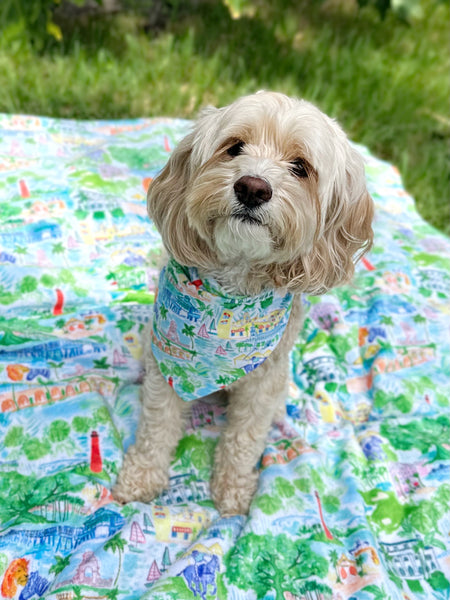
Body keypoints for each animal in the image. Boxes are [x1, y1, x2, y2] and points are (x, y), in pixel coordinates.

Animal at [112, 90, 372, 516]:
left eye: (300, 167)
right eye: (234, 147)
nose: (252, 187)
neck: (231, 296)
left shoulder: (263, 382)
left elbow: (245, 436)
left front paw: (232, 488)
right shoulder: (168, 366)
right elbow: (157, 425)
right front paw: (142, 477)